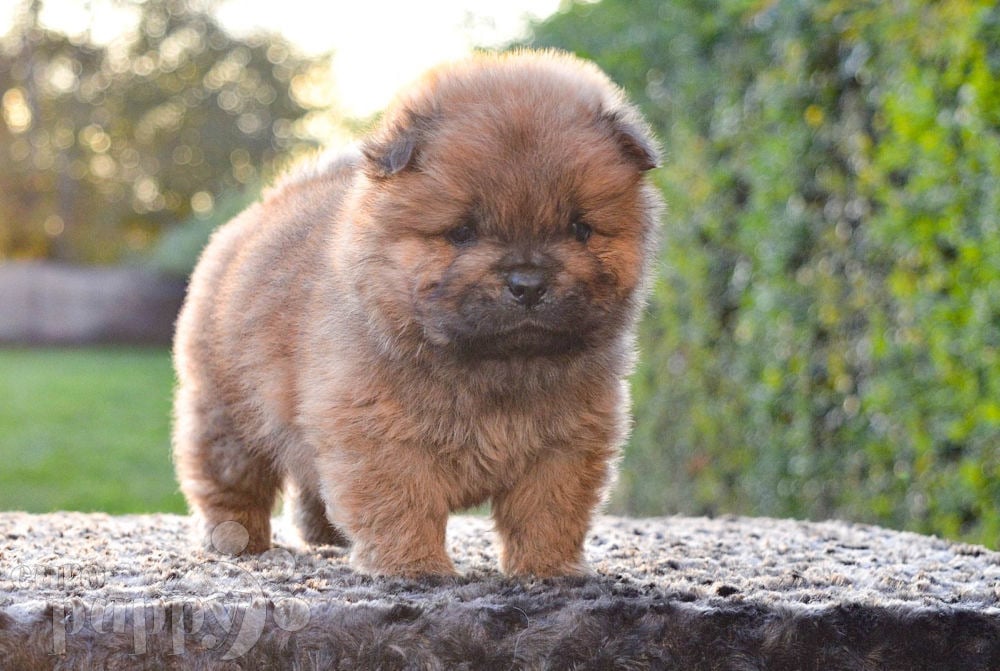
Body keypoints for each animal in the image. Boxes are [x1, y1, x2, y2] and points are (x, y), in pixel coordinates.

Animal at [173, 50, 664, 580]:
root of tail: (265, 208)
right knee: (230, 478)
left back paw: (326, 536)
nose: (528, 283)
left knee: (310, 483)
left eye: (579, 229)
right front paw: (417, 568)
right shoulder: (378, 434)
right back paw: (237, 539)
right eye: (463, 232)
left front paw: (546, 570)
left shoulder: (567, 443)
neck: (495, 372)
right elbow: (403, 503)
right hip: (227, 408)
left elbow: (548, 511)